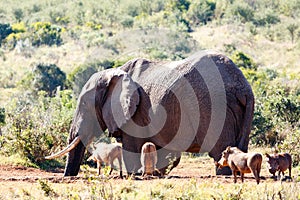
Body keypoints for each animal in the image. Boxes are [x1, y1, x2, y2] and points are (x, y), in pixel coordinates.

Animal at [45, 50, 254, 177]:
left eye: (84, 105)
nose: (68, 177)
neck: (115, 73)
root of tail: (243, 87)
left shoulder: (135, 113)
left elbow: (132, 146)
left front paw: (135, 175)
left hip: (217, 107)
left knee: (220, 151)